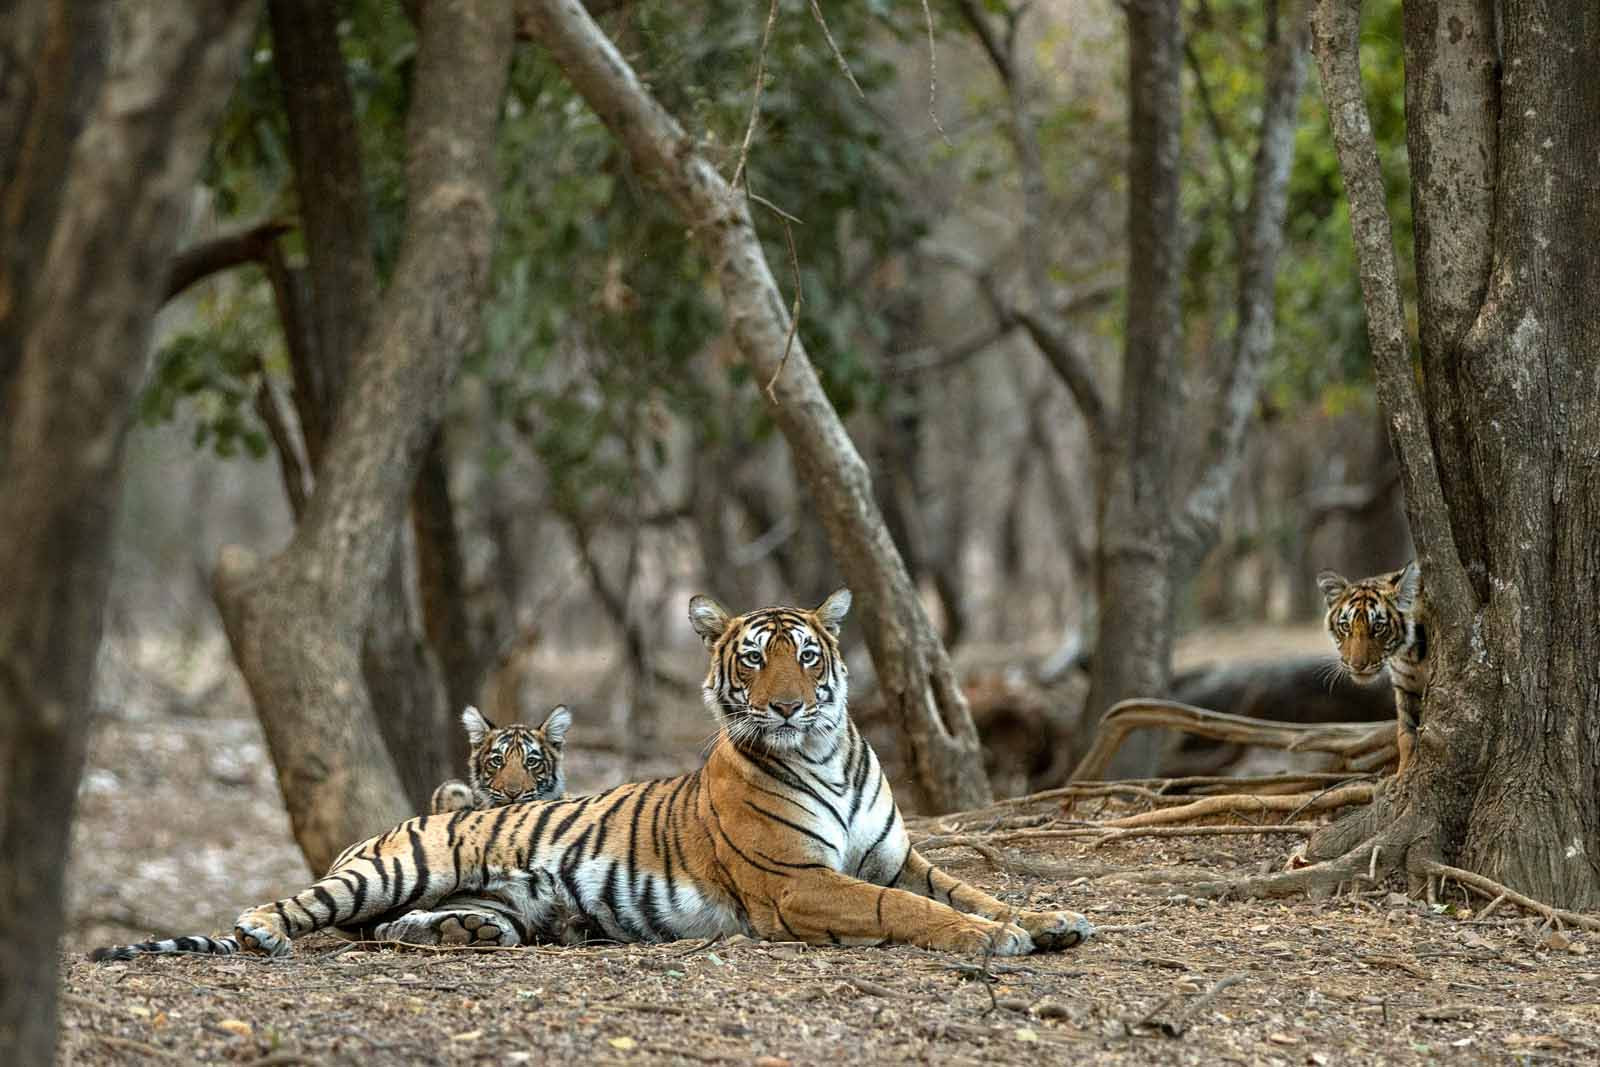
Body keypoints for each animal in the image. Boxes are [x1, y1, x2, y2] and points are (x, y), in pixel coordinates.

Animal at [93, 591, 1094, 959]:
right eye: (755, 658)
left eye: (807, 655)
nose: (784, 707)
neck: (826, 753)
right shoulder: (799, 882)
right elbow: (908, 910)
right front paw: (999, 939)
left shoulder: (896, 854)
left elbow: (968, 887)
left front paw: (1050, 917)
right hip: (392, 864)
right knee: (304, 902)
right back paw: (258, 929)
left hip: (490, 900)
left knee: (403, 927)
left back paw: (457, 933)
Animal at [1318, 563, 1433, 780]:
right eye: (1345, 626)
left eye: (1378, 627)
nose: (1357, 665)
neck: (1410, 655)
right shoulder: (1405, 686)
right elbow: (1406, 734)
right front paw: (1402, 776)